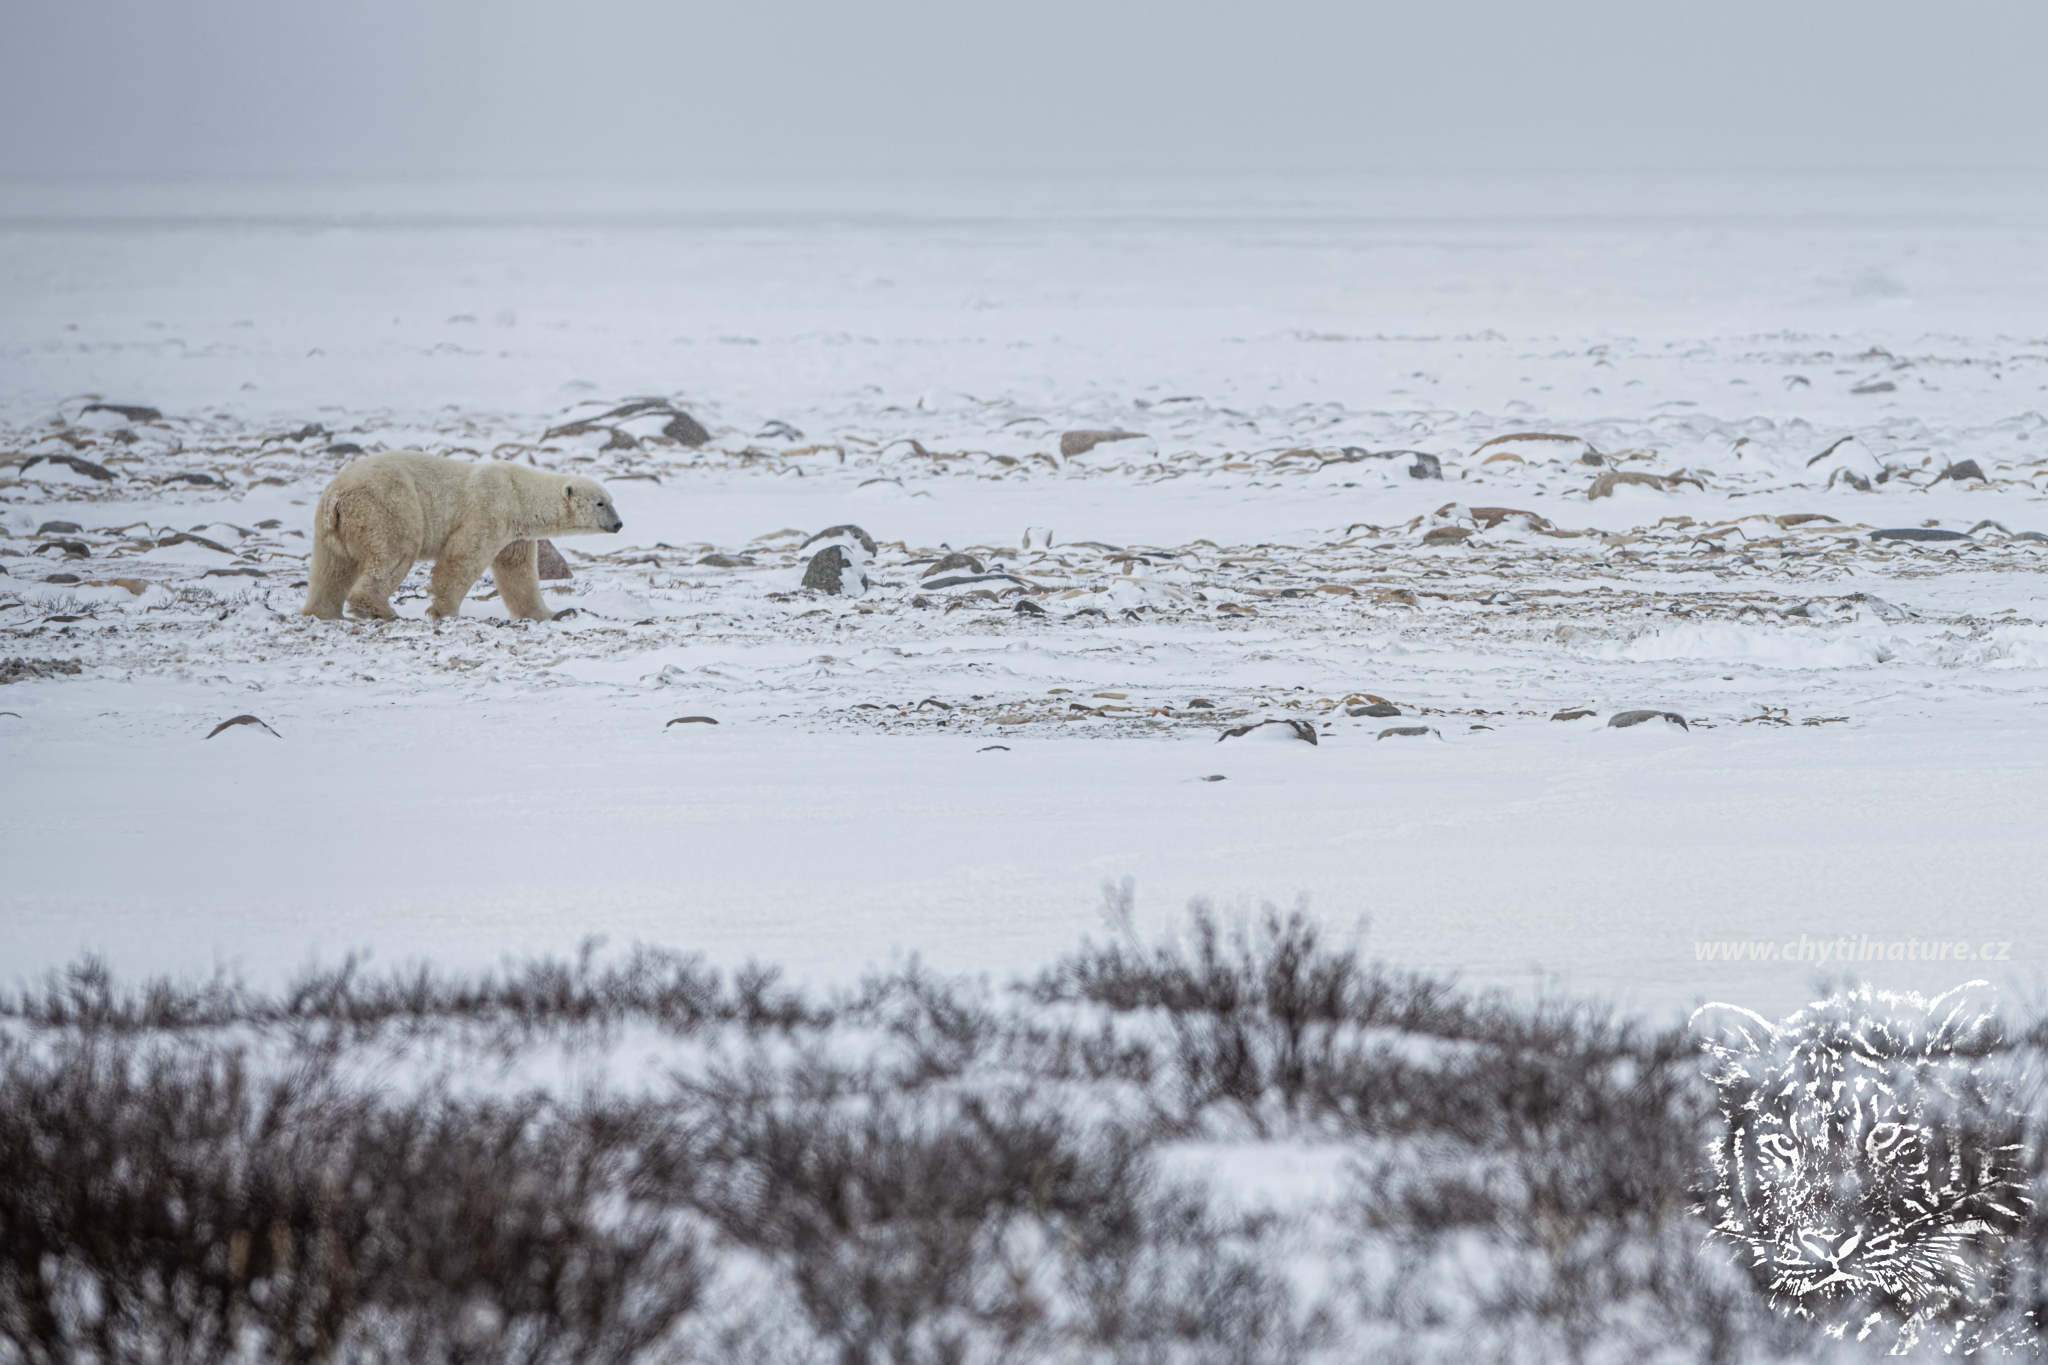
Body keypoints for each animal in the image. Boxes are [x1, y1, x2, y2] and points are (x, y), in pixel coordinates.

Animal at [300, 451, 623, 622]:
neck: (519, 493)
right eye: (601, 503)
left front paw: (548, 613)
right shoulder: (490, 507)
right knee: (396, 550)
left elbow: (518, 574)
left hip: (331, 525)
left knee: (331, 567)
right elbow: (462, 557)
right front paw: (444, 611)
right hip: (386, 505)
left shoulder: (515, 535)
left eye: (610, 500)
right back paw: (379, 608)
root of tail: (338, 495)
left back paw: (323, 612)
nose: (619, 524)